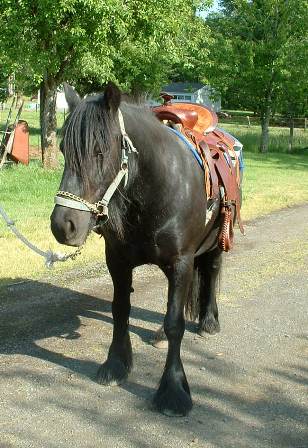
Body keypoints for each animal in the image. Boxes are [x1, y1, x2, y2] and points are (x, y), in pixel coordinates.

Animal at [51, 83, 224, 416]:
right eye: (64, 150)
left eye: (100, 151)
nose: (63, 225)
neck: (155, 188)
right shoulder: (117, 260)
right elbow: (121, 310)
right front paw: (116, 364)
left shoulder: (181, 261)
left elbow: (175, 324)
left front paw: (173, 390)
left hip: (218, 240)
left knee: (211, 271)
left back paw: (209, 321)